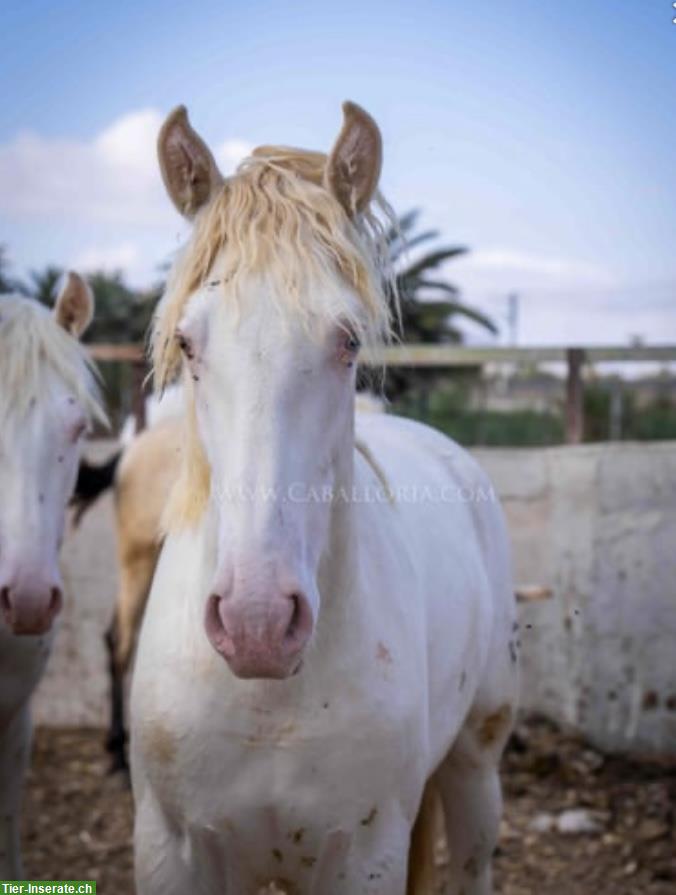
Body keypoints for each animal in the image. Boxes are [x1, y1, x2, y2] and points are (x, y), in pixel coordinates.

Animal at [132, 101, 520, 892]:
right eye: (187, 343)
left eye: (347, 341)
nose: (255, 622)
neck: (268, 701)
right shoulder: (170, 848)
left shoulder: (364, 857)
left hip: (476, 766)